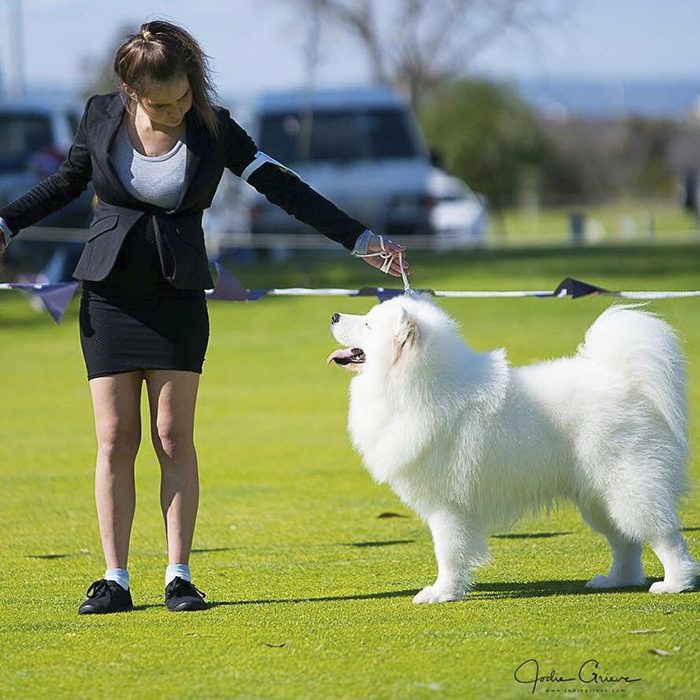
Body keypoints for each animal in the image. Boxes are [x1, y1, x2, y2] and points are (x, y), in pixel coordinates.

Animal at [326, 294, 696, 600]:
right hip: (598, 498)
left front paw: (441, 593)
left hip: (627, 486)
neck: (420, 386)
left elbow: (447, 552)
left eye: (368, 324)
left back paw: (676, 584)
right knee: (625, 542)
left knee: (663, 535)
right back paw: (617, 580)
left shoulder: (448, 505)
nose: (333, 315)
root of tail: (626, 381)